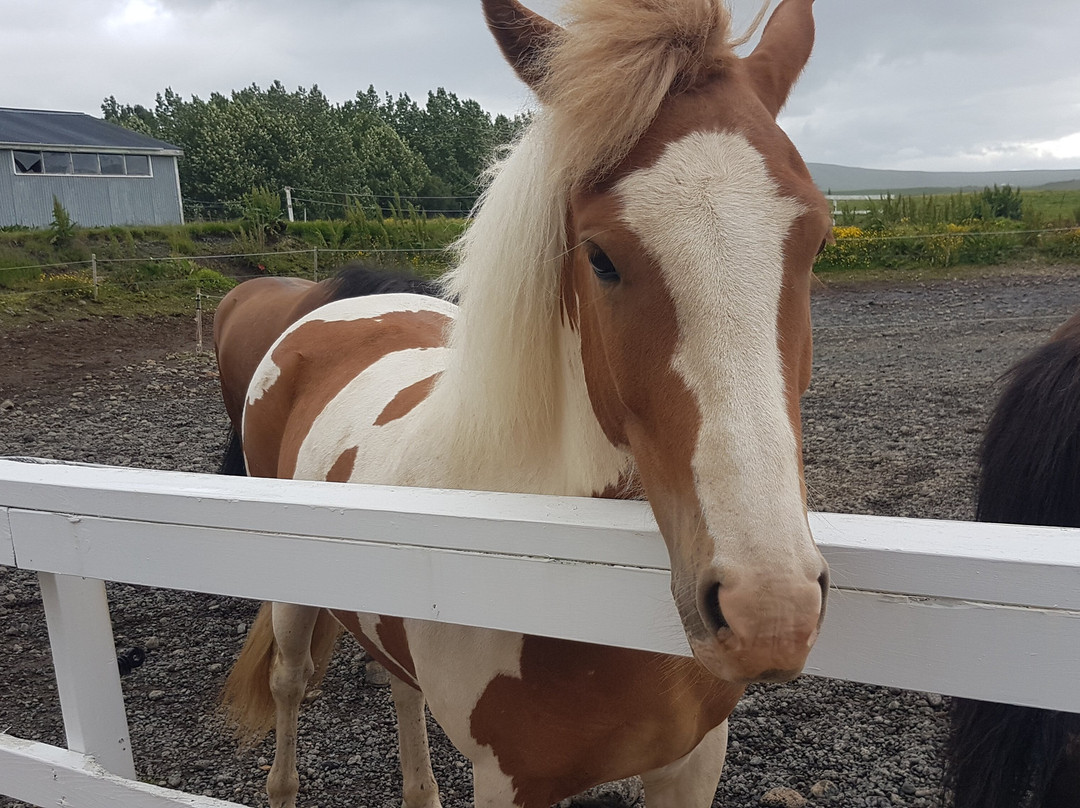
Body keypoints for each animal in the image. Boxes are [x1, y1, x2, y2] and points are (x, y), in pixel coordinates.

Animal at [218, 1, 834, 806]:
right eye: (599, 256)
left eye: (816, 239)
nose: (769, 609)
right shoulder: (510, 782)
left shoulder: (694, 759)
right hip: (291, 594)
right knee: (290, 685)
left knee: (400, 685)